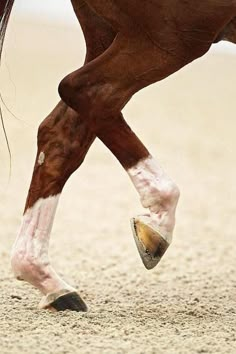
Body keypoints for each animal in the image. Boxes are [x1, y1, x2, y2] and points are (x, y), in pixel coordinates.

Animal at [0, 0, 236, 312]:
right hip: (171, 36)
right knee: (87, 92)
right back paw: (158, 221)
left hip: (109, 34)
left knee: (61, 132)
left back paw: (44, 276)